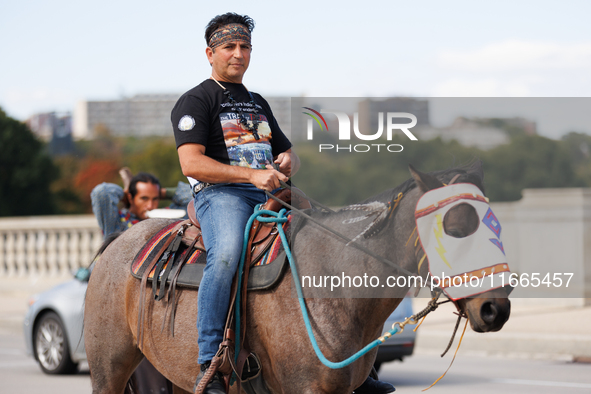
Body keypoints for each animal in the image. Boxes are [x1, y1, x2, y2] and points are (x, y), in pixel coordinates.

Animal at [84, 162, 512, 392]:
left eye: (496, 224)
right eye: (455, 227)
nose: (496, 308)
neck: (336, 283)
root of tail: (118, 240)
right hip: (108, 370)